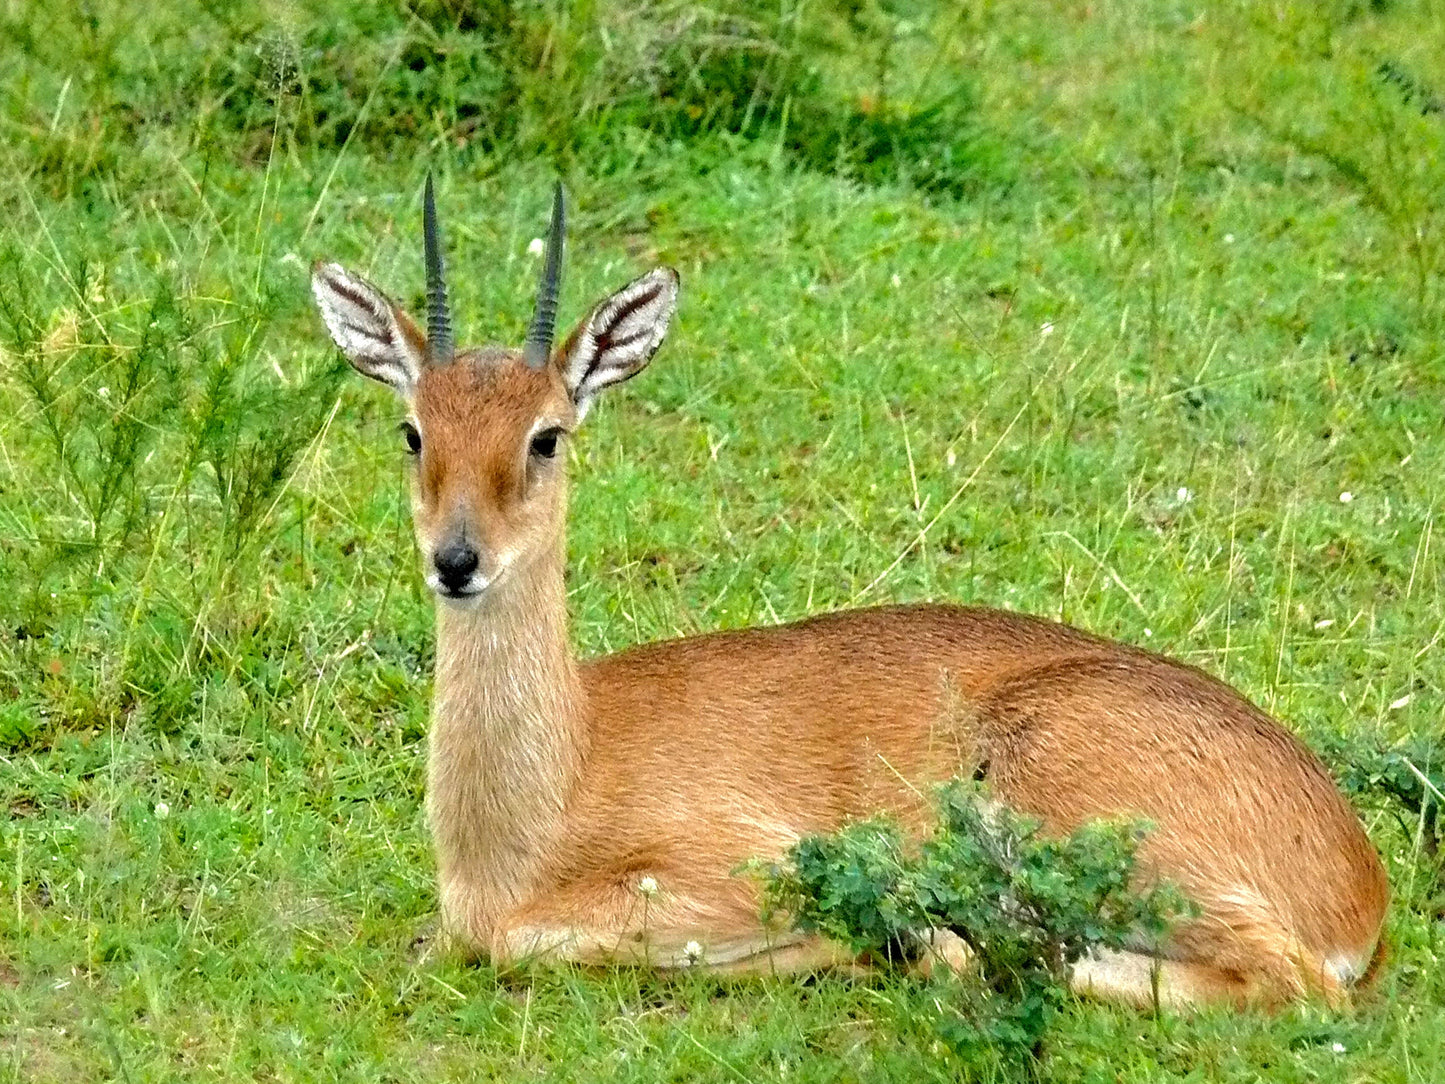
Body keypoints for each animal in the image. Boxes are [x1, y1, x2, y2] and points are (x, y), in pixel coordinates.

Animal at [311, 177, 1388, 1008]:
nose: (457, 560)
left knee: (1285, 983)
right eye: (413, 429)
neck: (546, 796)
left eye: (546, 435)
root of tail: (1355, 874)